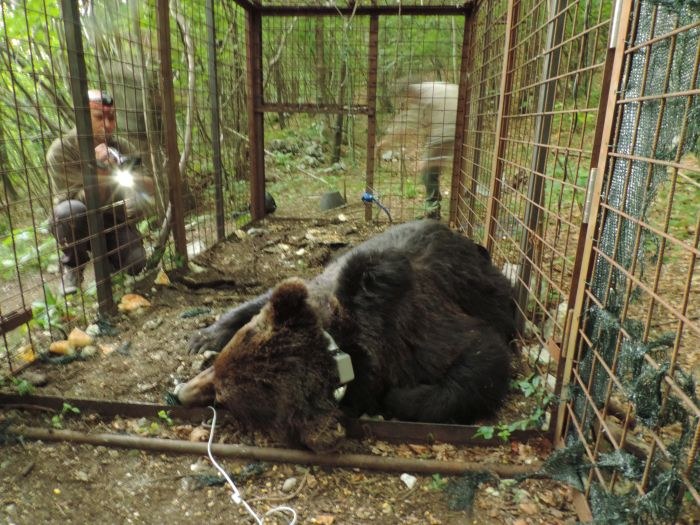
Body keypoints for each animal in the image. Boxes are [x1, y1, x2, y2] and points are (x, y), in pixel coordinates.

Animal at [176, 220, 517, 452]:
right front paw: (205, 336)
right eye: (216, 366)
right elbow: (265, 298)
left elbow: (481, 358)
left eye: (223, 396)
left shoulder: (422, 333)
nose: (181, 394)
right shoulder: (323, 285)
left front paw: (395, 399)